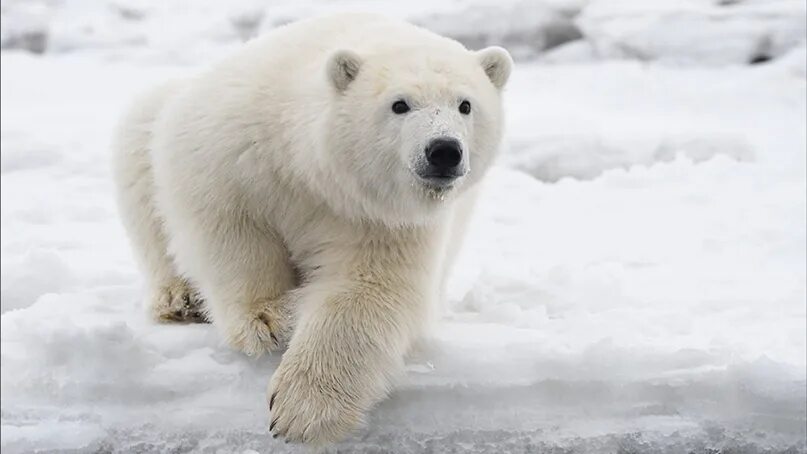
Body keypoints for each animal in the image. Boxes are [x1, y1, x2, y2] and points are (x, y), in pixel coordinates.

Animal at [112, 12, 512, 446]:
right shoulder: (237, 144)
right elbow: (226, 221)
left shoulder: (382, 219)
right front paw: (268, 318)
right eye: (399, 104)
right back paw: (179, 298)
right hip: (155, 120)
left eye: (465, 105)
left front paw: (302, 410)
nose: (444, 150)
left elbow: (369, 290)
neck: (314, 170)